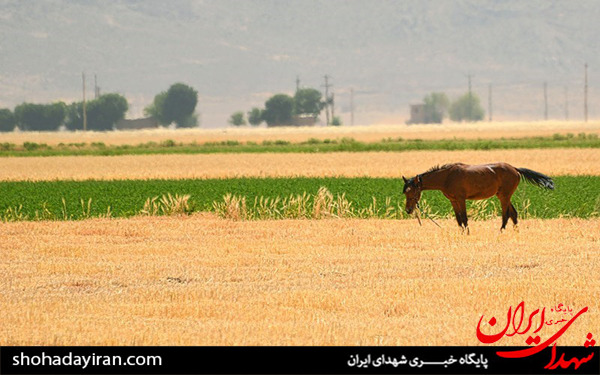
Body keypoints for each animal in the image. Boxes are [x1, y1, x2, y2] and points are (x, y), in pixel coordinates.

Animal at [404, 164, 552, 234]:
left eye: (411, 191)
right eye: (405, 192)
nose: (408, 210)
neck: (447, 177)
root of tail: (515, 169)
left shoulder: (461, 199)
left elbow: (464, 217)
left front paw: (468, 233)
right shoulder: (453, 200)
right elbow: (458, 219)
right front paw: (461, 233)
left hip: (504, 196)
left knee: (506, 214)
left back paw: (500, 232)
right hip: (503, 195)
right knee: (513, 214)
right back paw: (516, 232)